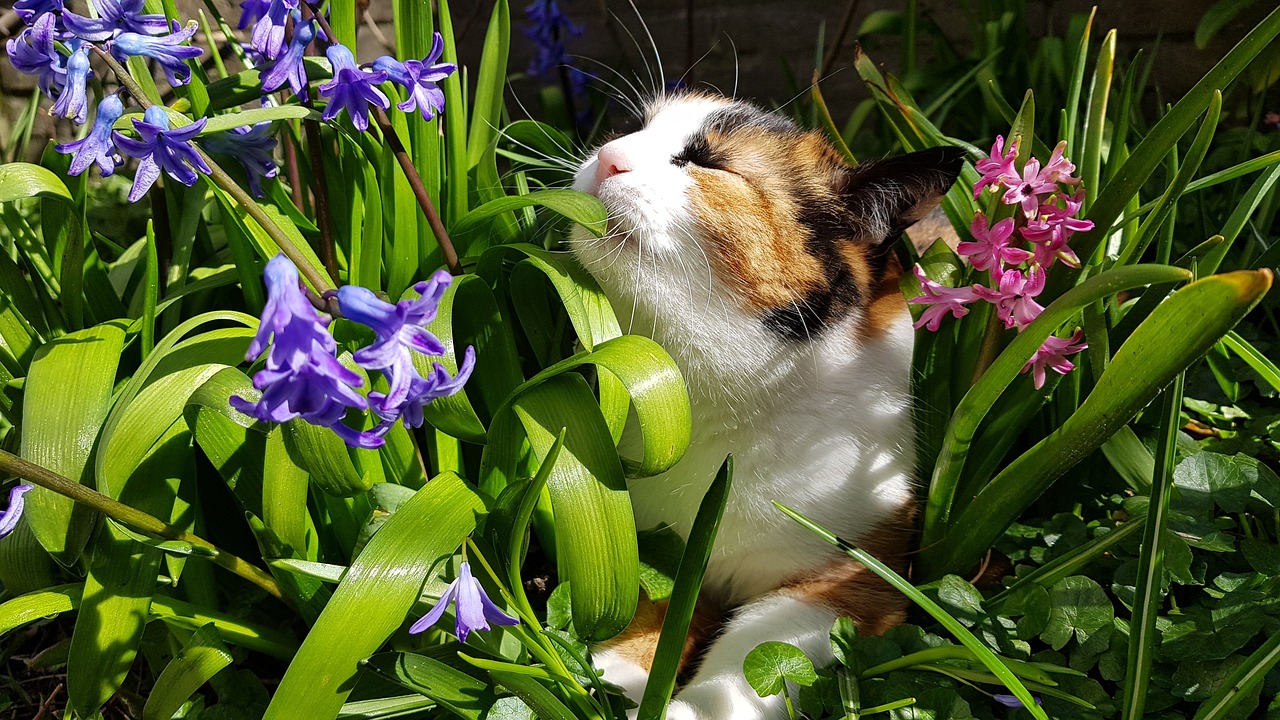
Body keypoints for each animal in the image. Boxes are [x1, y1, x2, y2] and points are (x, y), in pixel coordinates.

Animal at [570, 92, 962, 712]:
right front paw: (618, 676)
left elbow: (755, 659)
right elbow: (650, 605)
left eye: (711, 163)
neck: (718, 402)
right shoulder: (653, 542)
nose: (609, 155)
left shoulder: (856, 577)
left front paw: (686, 710)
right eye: (634, 127)